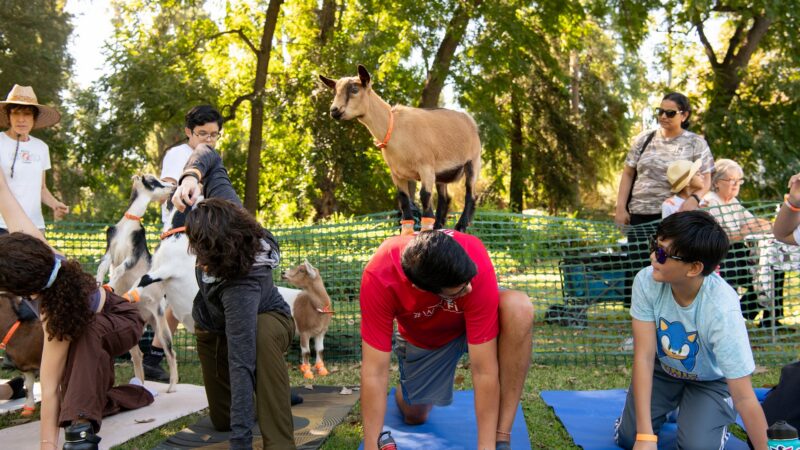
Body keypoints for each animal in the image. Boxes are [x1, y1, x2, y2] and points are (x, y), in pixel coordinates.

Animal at [319, 65, 482, 233]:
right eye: (335, 91)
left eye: (354, 89)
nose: (334, 110)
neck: (393, 126)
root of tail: (469, 120)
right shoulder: (397, 173)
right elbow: (404, 200)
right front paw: (407, 232)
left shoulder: (426, 167)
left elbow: (425, 196)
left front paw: (425, 231)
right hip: (442, 173)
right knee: (445, 198)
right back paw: (439, 226)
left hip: (473, 160)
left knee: (470, 194)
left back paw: (460, 226)